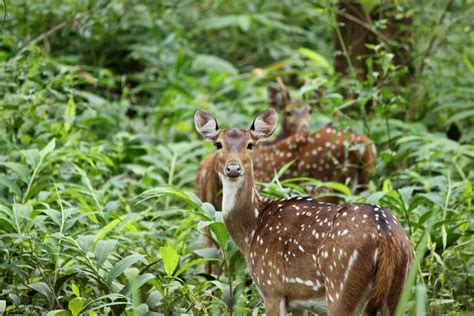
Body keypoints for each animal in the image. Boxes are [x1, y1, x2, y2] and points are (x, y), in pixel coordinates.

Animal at [194, 109, 412, 316]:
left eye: (250, 145)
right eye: (218, 144)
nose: (233, 168)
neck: (251, 230)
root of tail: (385, 236)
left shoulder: (271, 287)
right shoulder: (299, 300)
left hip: (341, 286)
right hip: (400, 286)